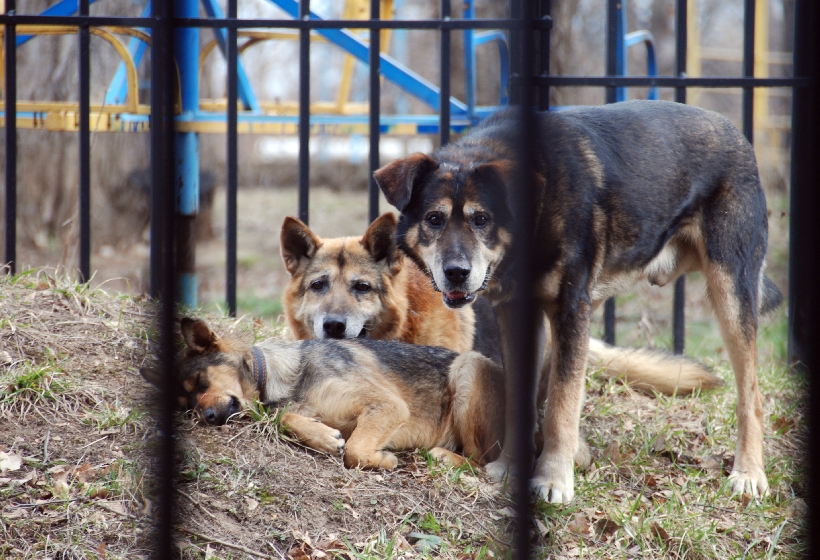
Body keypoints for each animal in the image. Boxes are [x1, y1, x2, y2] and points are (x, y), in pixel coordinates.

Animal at [142, 320, 510, 468]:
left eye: (201, 382)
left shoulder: (388, 406)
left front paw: (382, 460)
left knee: (482, 459)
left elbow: (356, 452)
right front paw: (323, 437)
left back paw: (447, 457)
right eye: (185, 406)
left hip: (469, 368)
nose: (205, 418)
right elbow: (288, 419)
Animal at [374, 100, 784, 504]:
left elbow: (562, 405)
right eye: (434, 219)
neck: (535, 209)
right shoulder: (521, 314)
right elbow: (521, 399)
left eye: (481, 219)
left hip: (729, 292)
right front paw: (510, 467)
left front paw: (554, 480)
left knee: (751, 395)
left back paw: (749, 474)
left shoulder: (571, 308)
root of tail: (734, 132)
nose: (456, 273)